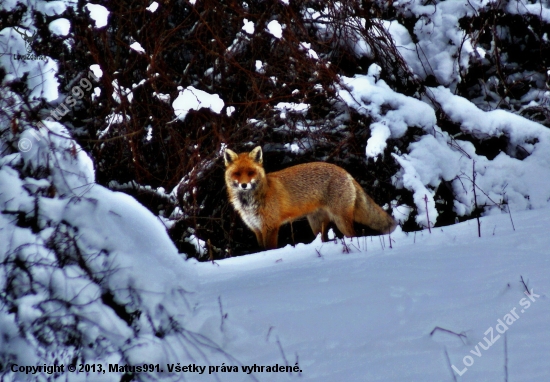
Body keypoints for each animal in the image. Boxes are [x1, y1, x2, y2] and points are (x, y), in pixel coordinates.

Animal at [226, 146, 398, 251]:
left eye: (250, 173)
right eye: (237, 174)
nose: (244, 185)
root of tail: (345, 172)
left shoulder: (270, 227)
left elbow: (269, 249)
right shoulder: (256, 228)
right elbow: (262, 249)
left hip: (341, 220)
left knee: (353, 236)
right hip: (316, 224)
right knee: (323, 239)